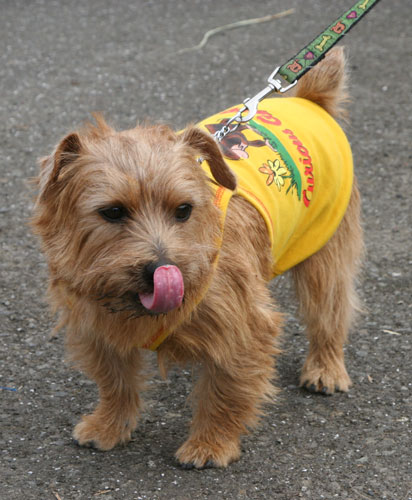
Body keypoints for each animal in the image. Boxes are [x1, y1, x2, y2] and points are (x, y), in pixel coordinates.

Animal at [32, 47, 364, 468]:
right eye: (112, 212)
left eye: (183, 210)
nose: (162, 269)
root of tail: (307, 99)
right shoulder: (96, 324)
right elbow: (114, 380)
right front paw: (108, 425)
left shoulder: (244, 324)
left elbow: (226, 390)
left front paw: (210, 444)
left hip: (327, 244)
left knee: (329, 306)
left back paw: (325, 367)